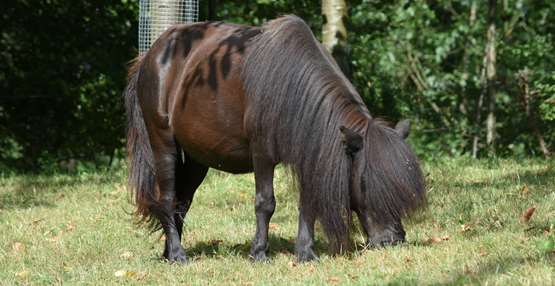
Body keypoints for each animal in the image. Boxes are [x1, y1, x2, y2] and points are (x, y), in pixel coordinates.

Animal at [124, 14, 426, 262]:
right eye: (365, 183)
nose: (393, 239)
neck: (290, 83)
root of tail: (152, 54)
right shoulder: (262, 154)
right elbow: (265, 202)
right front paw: (259, 252)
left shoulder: (307, 153)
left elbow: (308, 204)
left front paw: (306, 252)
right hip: (164, 145)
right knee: (167, 199)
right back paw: (177, 254)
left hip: (196, 161)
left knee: (181, 202)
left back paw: (168, 253)